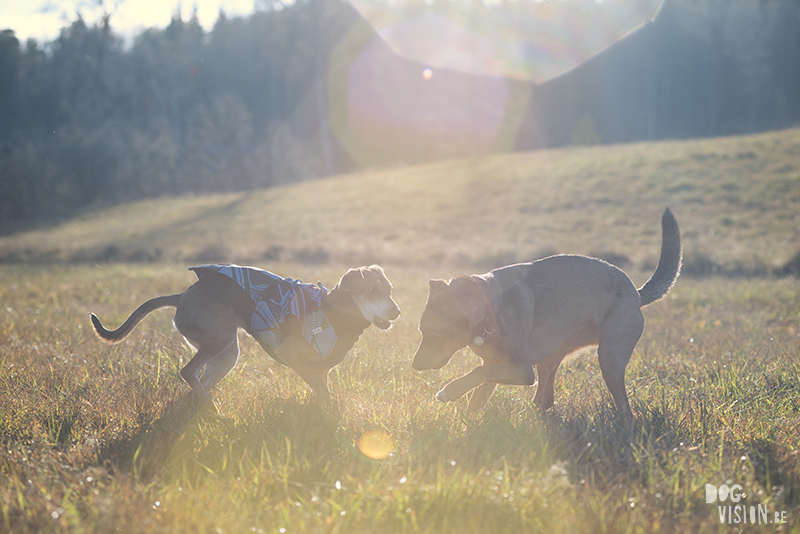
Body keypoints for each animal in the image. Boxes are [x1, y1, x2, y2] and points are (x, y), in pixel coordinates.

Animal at [90, 266, 400, 400]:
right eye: (371, 290)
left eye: (390, 289)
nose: (397, 312)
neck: (333, 312)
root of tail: (182, 296)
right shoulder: (291, 354)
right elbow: (319, 390)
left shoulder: (322, 369)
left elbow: (321, 388)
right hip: (221, 338)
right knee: (187, 371)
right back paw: (211, 406)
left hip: (227, 355)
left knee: (198, 380)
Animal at [412, 209, 680, 418]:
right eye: (421, 331)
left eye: (437, 337)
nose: (415, 365)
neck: (490, 312)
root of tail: (637, 293)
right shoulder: (495, 363)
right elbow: (478, 394)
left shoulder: (522, 370)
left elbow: (478, 374)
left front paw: (450, 391)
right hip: (552, 356)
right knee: (544, 399)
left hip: (610, 358)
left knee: (625, 408)